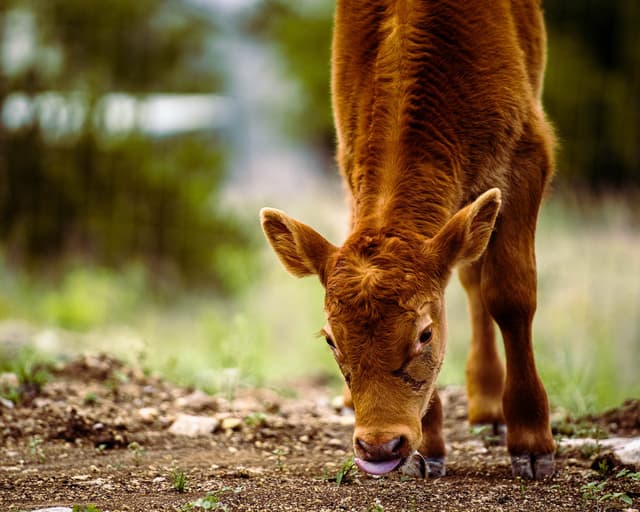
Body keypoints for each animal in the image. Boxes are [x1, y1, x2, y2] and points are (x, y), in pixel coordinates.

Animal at [260, 0, 556, 480]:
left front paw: (532, 443)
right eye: (330, 339)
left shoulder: (529, 153)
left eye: (425, 334)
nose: (379, 445)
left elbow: (512, 295)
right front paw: (428, 448)